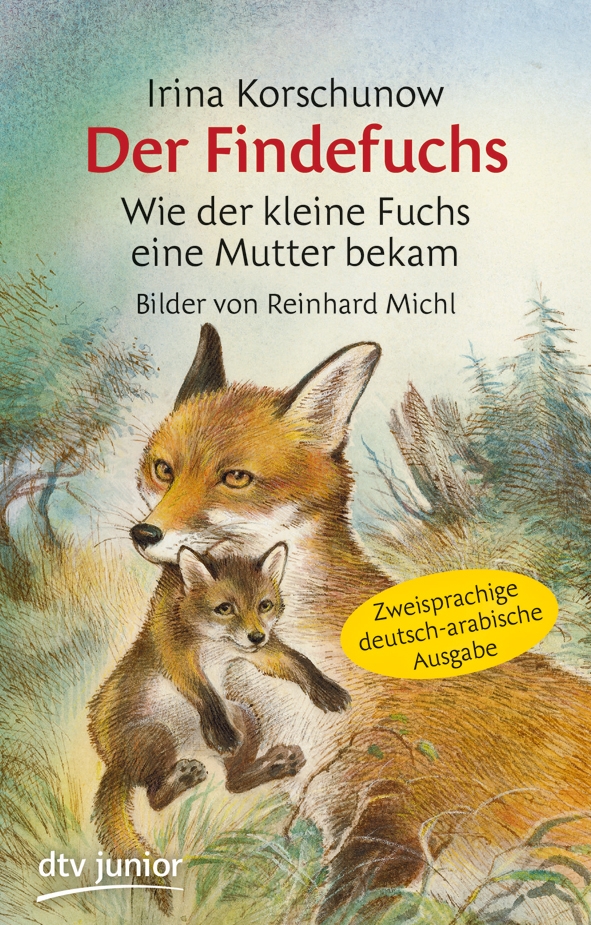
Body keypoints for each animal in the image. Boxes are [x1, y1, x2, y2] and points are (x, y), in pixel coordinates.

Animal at [88, 539, 350, 913]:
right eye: (225, 608)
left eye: (264, 605)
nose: (256, 635)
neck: (215, 643)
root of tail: (114, 764)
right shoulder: (177, 656)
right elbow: (204, 692)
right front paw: (219, 729)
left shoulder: (260, 654)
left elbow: (299, 661)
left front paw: (326, 689)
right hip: (155, 735)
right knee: (154, 796)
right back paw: (181, 778)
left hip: (245, 716)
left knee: (233, 782)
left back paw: (276, 765)